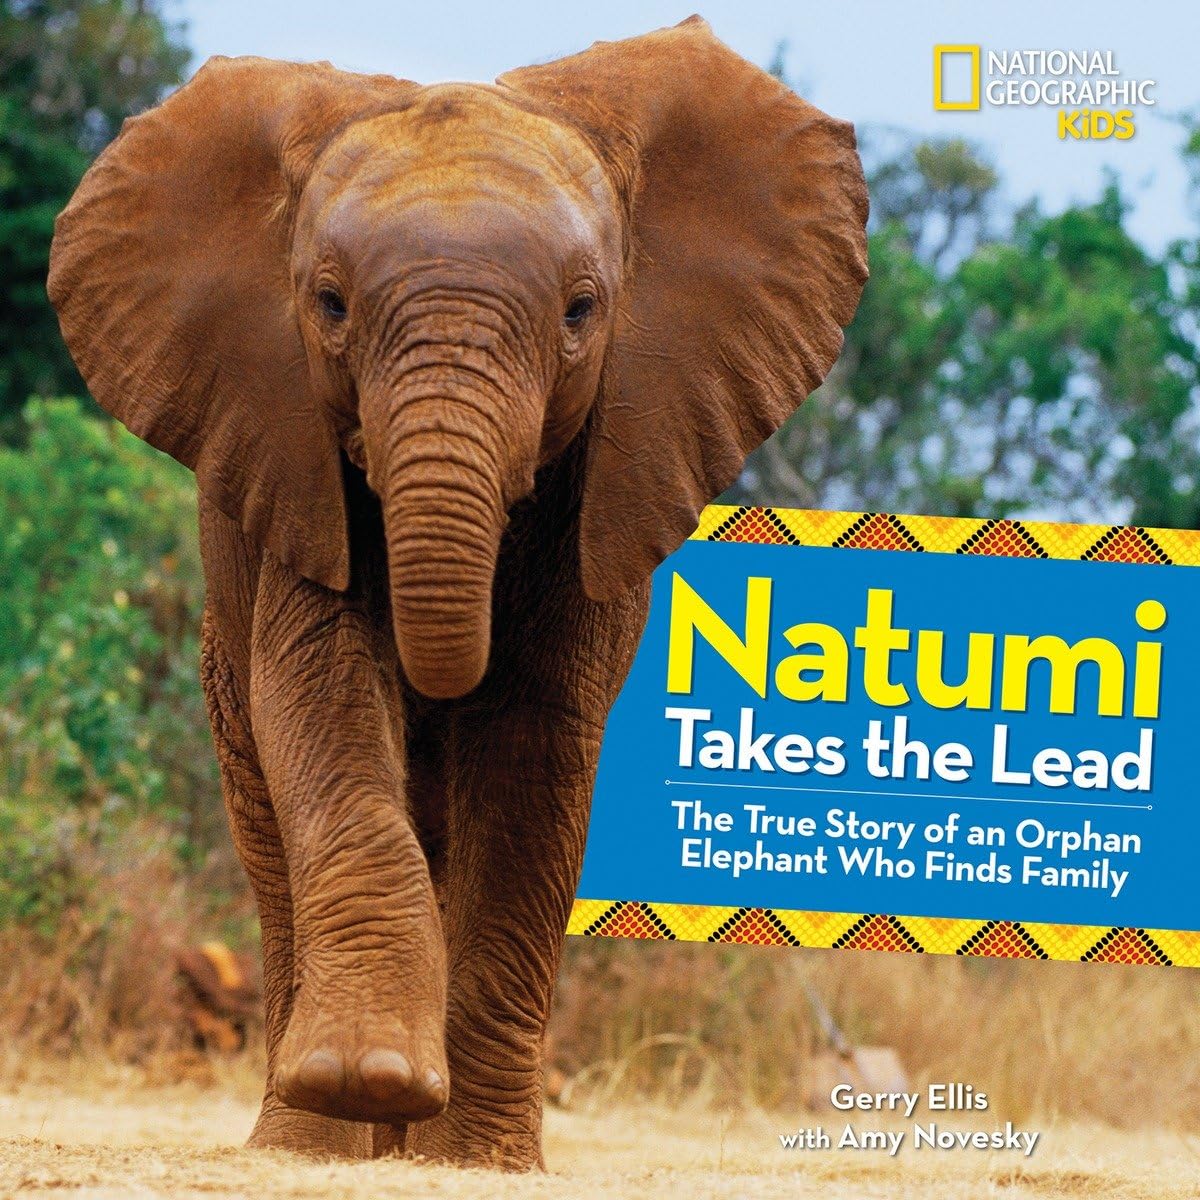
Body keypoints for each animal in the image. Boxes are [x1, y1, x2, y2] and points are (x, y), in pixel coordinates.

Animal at [47, 17, 867, 1170]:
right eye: (329, 305)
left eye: (581, 312)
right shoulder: (294, 458)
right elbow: (321, 695)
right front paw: (368, 1077)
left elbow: (532, 742)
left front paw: (474, 1159)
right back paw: (310, 1142)